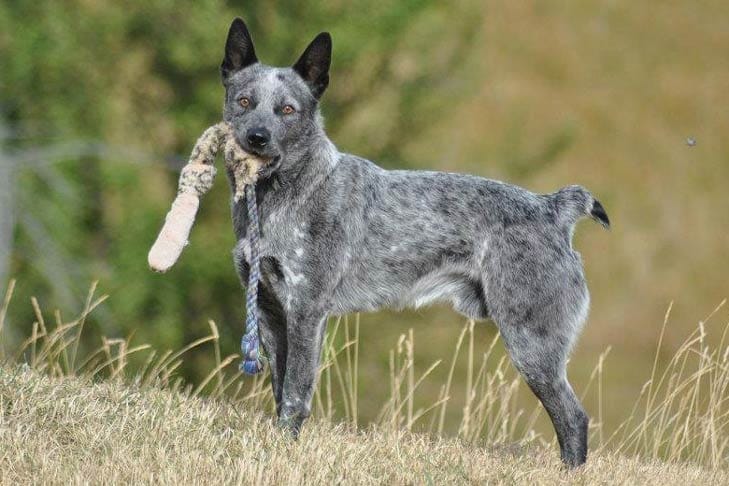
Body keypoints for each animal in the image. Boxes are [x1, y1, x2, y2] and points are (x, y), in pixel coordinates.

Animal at [222, 18, 608, 468]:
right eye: (244, 101)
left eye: (287, 110)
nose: (257, 137)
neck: (283, 195)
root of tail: (553, 208)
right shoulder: (268, 309)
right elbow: (280, 390)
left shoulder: (306, 311)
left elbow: (296, 393)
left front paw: (286, 451)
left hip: (533, 346)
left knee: (573, 419)